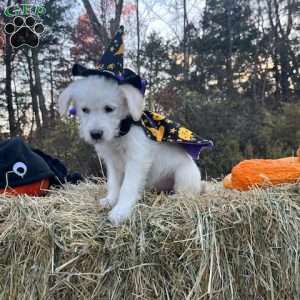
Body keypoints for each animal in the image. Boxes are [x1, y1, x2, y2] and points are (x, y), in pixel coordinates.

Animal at [58, 76, 204, 224]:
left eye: (109, 109)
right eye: (85, 110)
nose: (95, 134)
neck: (120, 133)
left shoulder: (136, 160)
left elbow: (127, 187)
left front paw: (120, 211)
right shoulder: (113, 163)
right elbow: (114, 184)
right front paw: (110, 200)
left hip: (184, 174)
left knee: (186, 193)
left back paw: (175, 198)